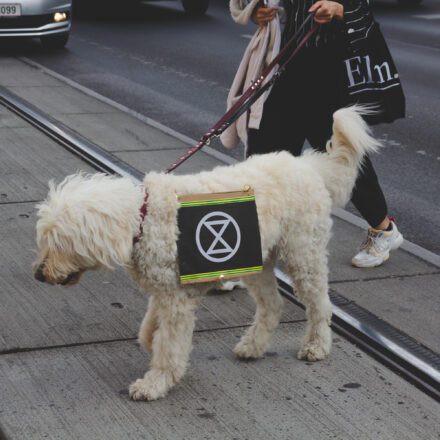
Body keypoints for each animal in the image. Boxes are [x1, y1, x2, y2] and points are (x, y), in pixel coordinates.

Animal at [33, 105, 378, 398]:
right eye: (45, 240)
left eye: (58, 243)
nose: (38, 274)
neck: (144, 217)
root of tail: (305, 165)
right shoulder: (166, 290)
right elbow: (150, 329)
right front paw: (150, 342)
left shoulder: (176, 301)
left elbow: (169, 346)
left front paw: (155, 383)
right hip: (256, 261)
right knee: (273, 305)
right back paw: (253, 346)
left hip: (303, 253)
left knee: (320, 304)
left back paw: (316, 346)